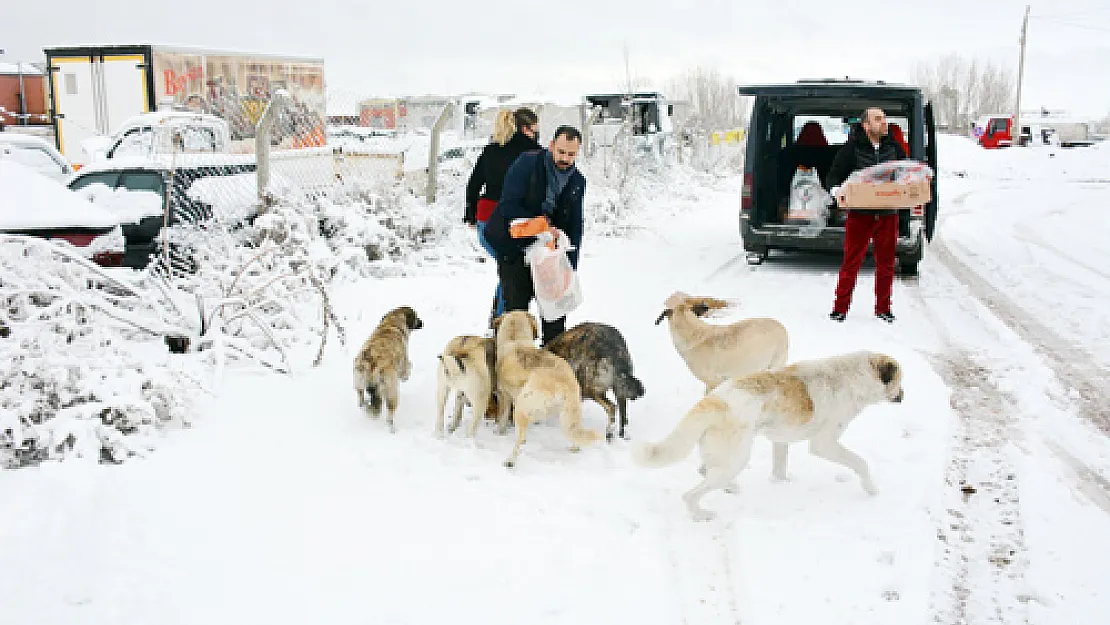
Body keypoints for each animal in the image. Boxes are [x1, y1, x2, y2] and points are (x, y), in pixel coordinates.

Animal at [492, 310, 599, 466]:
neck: (515, 338)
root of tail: (564, 383)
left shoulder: (504, 395)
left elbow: (502, 419)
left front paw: (499, 433)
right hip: (570, 412)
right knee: (575, 433)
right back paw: (574, 448)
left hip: (522, 407)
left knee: (519, 439)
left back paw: (510, 461)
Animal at [634, 353, 901, 523]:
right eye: (900, 380)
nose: (903, 396)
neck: (854, 377)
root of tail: (717, 399)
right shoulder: (824, 445)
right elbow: (861, 463)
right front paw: (871, 489)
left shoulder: (780, 439)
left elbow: (780, 468)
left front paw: (782, 483)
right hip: (736, 459)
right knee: (690, 494)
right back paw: (701, 515)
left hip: (726, 457)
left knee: (704, 470)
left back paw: (729, 487)